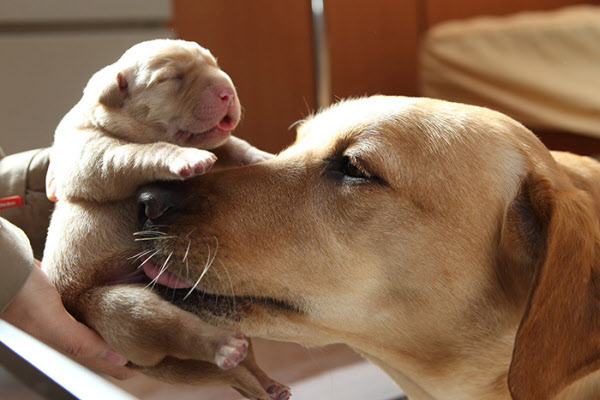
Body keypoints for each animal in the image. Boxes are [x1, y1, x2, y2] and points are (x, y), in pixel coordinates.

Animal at [43, 39, 288, 400]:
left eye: (215, 64)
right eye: (171, 78)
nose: (228, 91)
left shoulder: (223, 146)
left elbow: (235, 146)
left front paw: (265, 157)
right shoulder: (92, 153)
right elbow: (139, 152)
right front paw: (185, 158)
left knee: (240, 363)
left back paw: (266, 382)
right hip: (114, 307)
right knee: (171, 327)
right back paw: (225, 348)